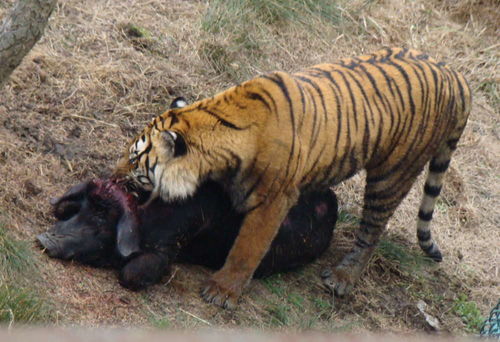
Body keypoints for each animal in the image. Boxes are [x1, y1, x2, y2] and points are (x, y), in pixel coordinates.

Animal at [114, 46, 472, 308]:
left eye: (134, 161)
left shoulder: (274, 200)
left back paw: (342, 277)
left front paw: (222, 291)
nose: (114, 177)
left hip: (393, 174)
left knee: (373, 229)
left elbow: (247, 247)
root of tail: (454, 73)